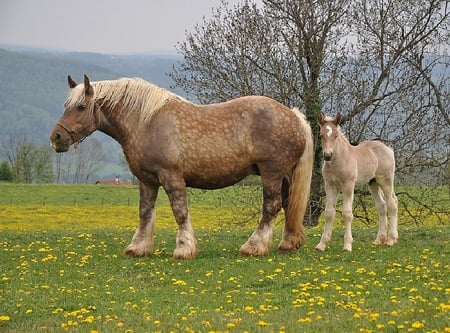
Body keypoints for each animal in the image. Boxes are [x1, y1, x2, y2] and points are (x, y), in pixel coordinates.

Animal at [50, 74, 312, 256]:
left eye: (81, 107)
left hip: (271, 173)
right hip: (284, 175)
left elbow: (180, 212)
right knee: (287, 204)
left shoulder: (172, 178)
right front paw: (138, 248)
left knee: (271, 206)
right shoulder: (146, 181)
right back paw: (288, 244)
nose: (56, 138)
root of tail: (294, 116)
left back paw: (254, 246)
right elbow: (145, 213)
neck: (146, 122)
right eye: (65, 106)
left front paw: (184, 248)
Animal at [316, 113, 398, 250]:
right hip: (373, 182)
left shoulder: (348, 185)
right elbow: (329, 213)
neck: (339, 161)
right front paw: (322, 245)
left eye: (336, 135)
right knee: (381, 206)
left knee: (392, 204)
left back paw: (391, 239)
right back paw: (379, 239)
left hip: (385, 180)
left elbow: (347, 214)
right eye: (321, 135)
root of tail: (388, 149)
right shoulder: (330, 186)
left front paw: (347, 245)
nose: (327, 155)